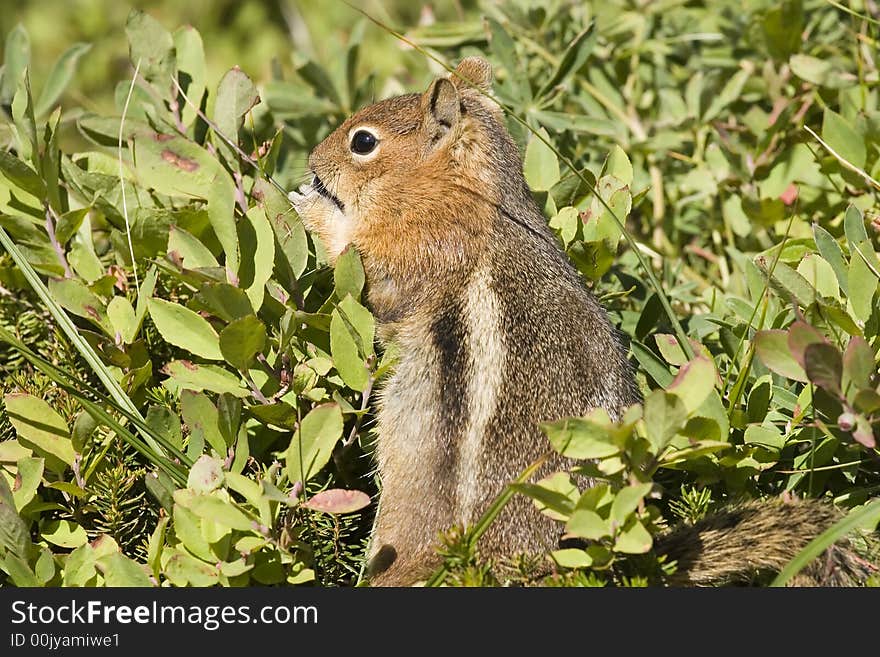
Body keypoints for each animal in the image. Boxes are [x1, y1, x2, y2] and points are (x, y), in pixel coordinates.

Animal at [290, 59, 872, 588]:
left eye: (363, 142)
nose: (312, 159)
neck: (470, 194)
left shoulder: (417, 251)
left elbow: (365, 277)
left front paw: (312, 208)